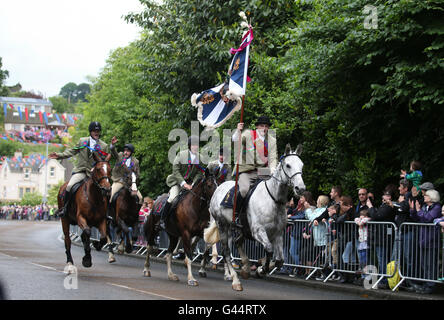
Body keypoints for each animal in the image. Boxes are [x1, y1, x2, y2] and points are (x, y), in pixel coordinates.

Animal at [205, 144, 306, 292]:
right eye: (288, 165)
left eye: (302, 165)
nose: (300, 188)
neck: (273, 200)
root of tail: (219, 188)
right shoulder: (258, 231)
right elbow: (269, 250)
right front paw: (261, 269)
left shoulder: (278, 234)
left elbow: (280, 260)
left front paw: (259, 268)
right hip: (222, 225)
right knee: (226, 252)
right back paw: (235, 280)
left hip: (241, 230)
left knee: (237, 242)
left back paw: (246, 268)